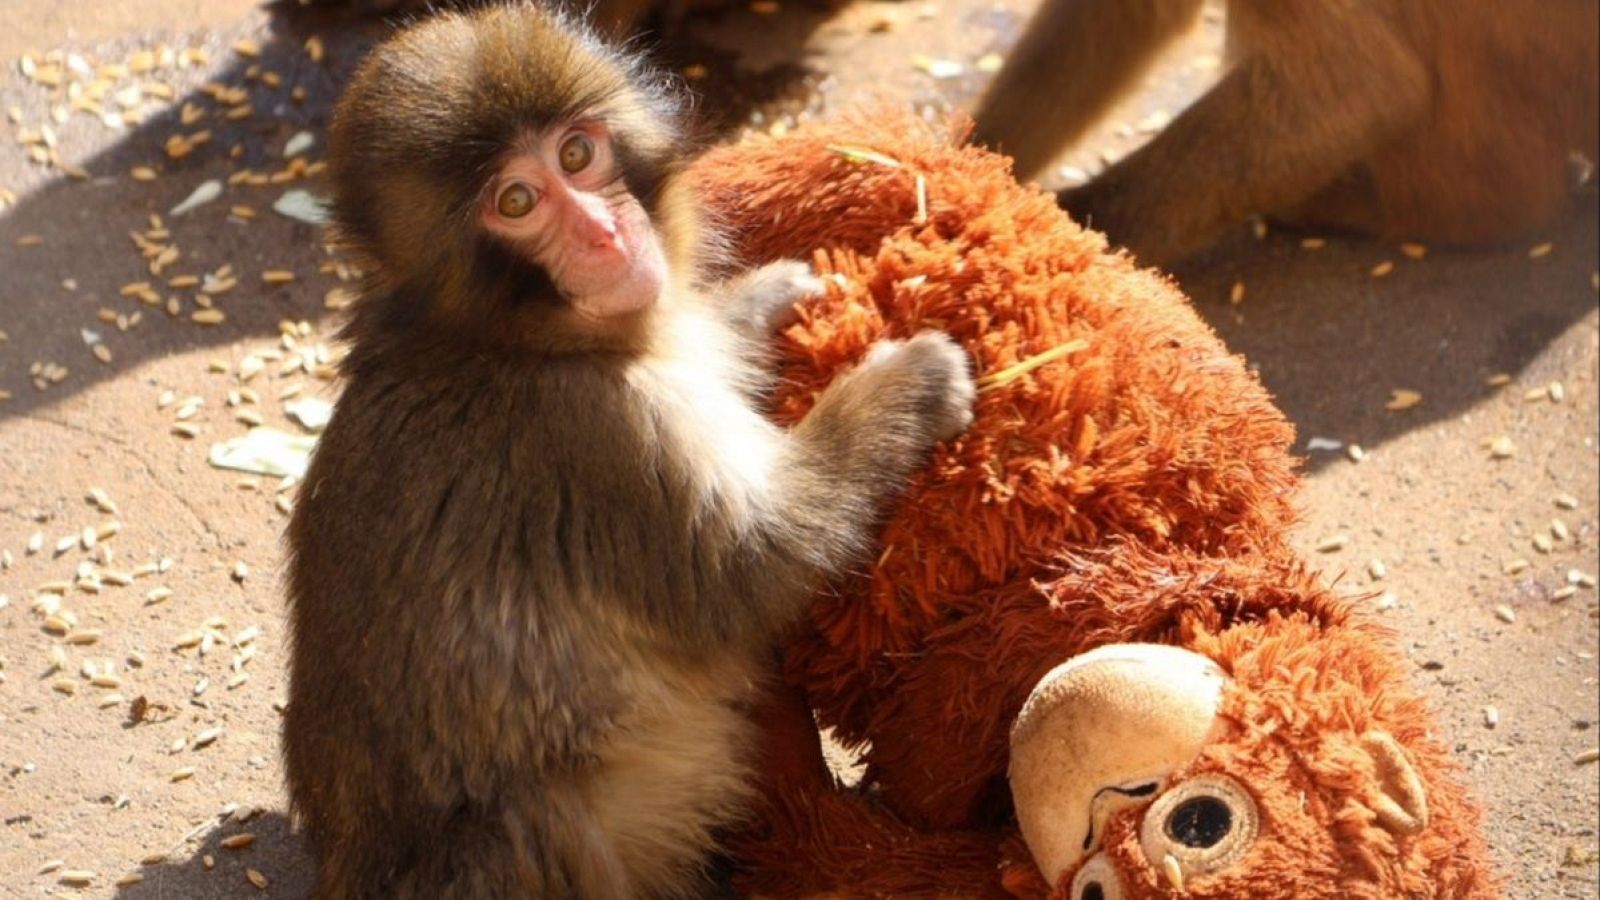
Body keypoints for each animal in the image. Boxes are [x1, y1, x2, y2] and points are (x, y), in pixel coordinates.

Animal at [281, 5, 975, 899]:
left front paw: (761, 302)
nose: (605, 234)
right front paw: (908, 384)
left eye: (577, 155)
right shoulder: (596, 434)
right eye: (516, 201)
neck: (507, 340)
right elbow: (752, 569)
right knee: (532, 818)